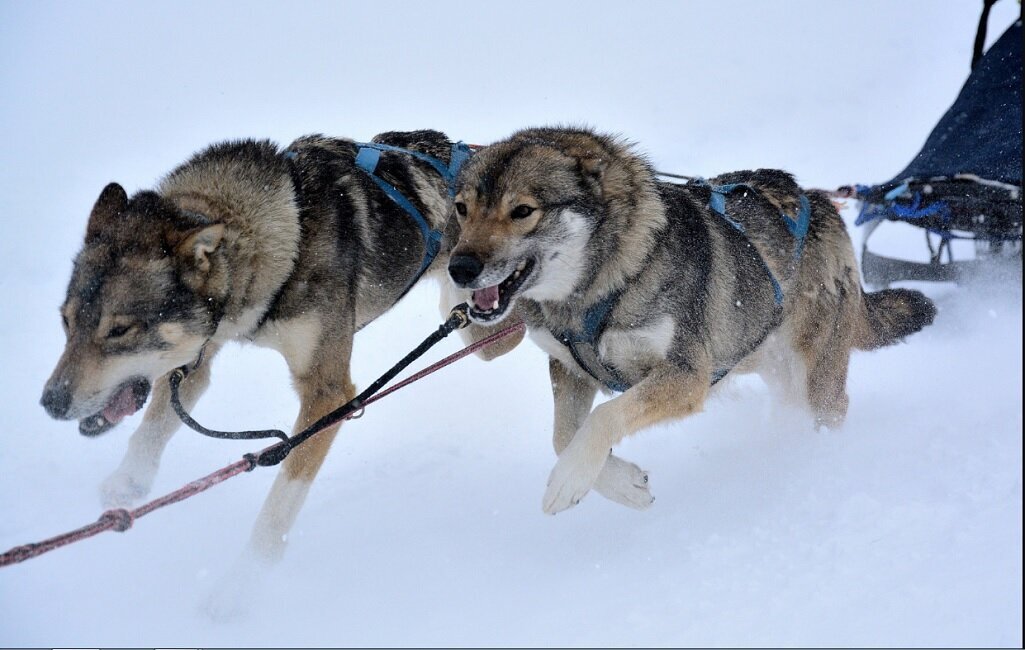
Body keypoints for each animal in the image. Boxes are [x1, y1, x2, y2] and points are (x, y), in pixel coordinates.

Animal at [40, 129, 523, 568]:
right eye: (65, 320)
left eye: (120, 330)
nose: (51, 403)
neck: (286, 233)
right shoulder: (198, 355)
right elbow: (156, 423)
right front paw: (128, 482)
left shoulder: (328, 395)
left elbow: (280, 499)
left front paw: (243, 582)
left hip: (496, 331)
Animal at [445, 126, 936, 515]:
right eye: (462, 208)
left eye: (522, 211)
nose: (459, 268)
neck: (606, 283)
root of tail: (818, 201)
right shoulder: (569, 369)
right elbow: (564, 436)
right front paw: (623, 485)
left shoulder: (685, 375)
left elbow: (604, 417)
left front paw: (567, 482)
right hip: (766, 360)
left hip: (814, 374)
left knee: (830, 409)